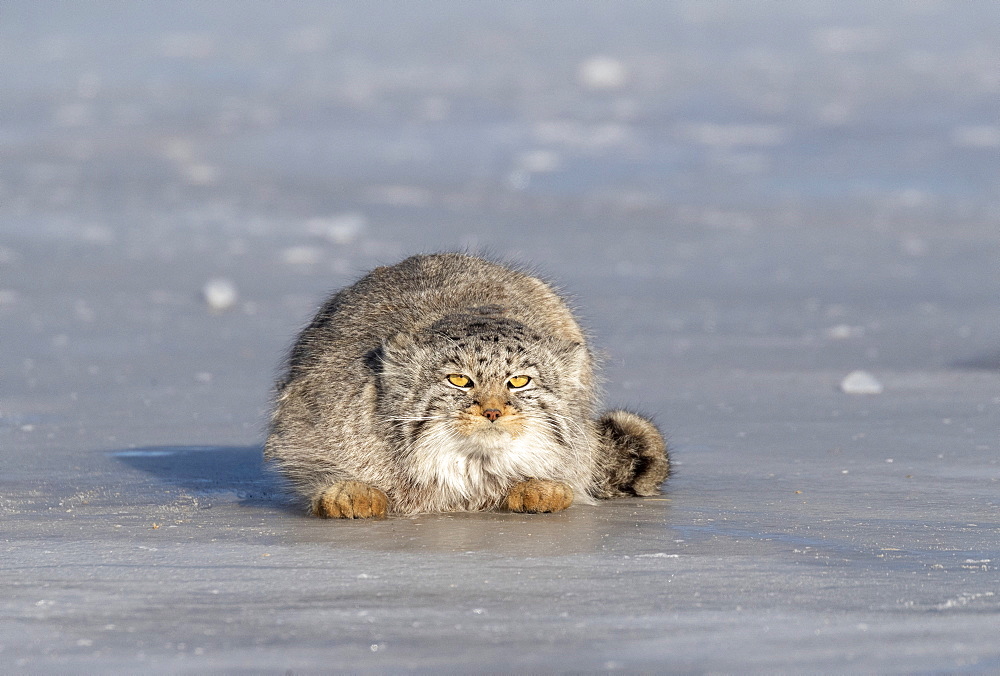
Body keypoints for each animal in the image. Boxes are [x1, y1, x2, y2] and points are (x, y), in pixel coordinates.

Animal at [266, 254, 672, 516]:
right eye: (459, 380)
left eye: (518, 381)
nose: (492, 411)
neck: (470, 467)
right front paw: (350, 492)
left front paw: (539, 486)